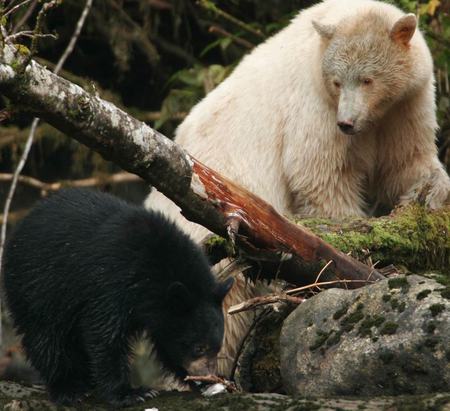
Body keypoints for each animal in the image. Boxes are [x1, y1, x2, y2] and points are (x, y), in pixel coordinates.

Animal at [2, 190, 236, 408]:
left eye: (217, 347)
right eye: (199, 347)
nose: (207, 376)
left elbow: (166, 342)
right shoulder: (112, 282)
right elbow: (104, 334)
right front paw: (132, 393)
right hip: (37, 285)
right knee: (45, 336)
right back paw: (69, 388)